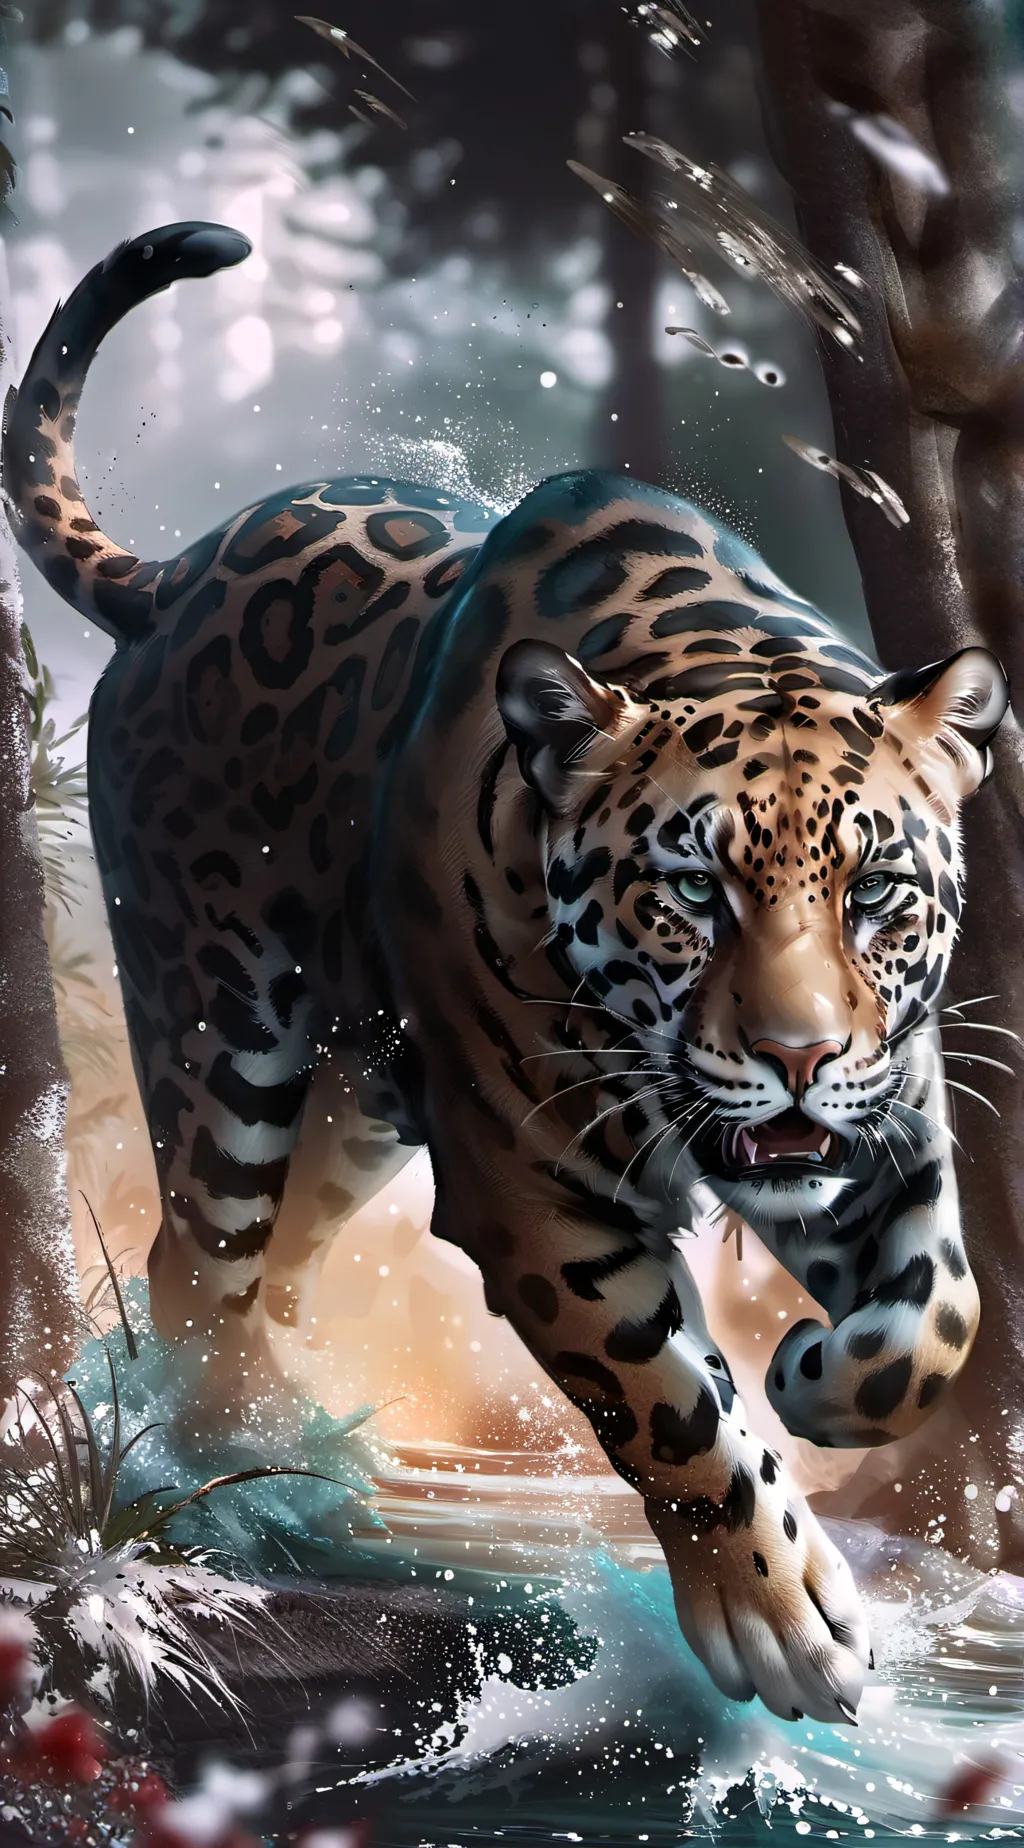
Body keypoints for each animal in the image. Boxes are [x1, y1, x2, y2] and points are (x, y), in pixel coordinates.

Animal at [5, 221, 1010, 1726]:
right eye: (693, 895)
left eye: (875, 892)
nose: (797, 1057)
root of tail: (173, 573)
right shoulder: (533, 1192)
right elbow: (667, 1406)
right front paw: (778, 1621)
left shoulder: (885, 1124)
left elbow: (943, 1309)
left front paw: (821, 1379)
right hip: (226, 1032)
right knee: (200, 1248)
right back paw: (248, 1452)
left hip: (361, 1103)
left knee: (278, 1252)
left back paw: (306, 1437)